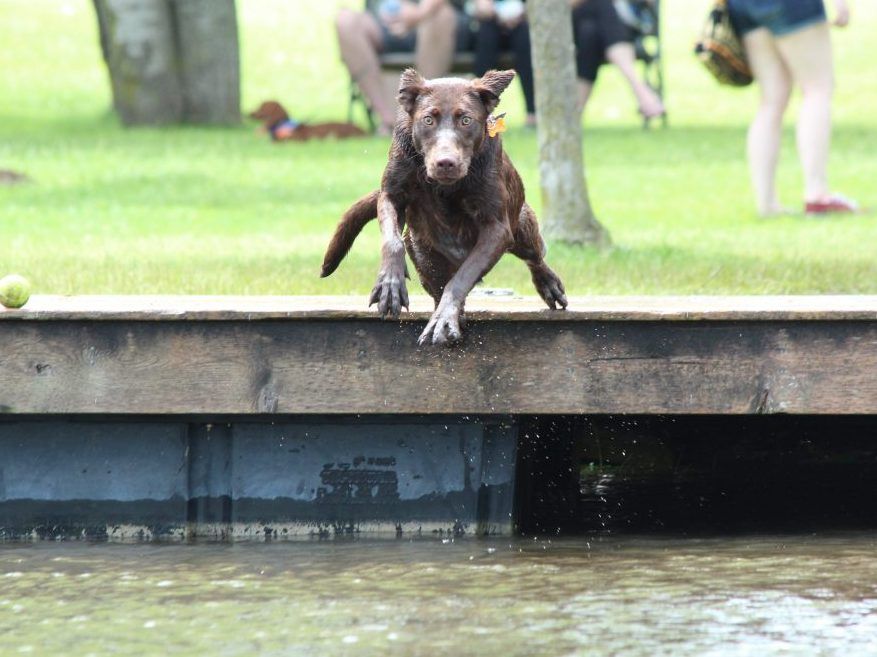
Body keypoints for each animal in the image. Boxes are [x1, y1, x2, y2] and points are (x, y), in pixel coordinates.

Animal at [322, 69, 568, 346]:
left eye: (466, 120)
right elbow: (391, 241)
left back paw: (548, 284)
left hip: (523, 231)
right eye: (428, 120)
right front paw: (390, 284)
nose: (445, 163)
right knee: (435, 283)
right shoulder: (391, 196)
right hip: (422, 253)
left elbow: (461, 278)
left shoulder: (497, 228)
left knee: (535, 256)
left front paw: (443, 320)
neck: (445, 187)